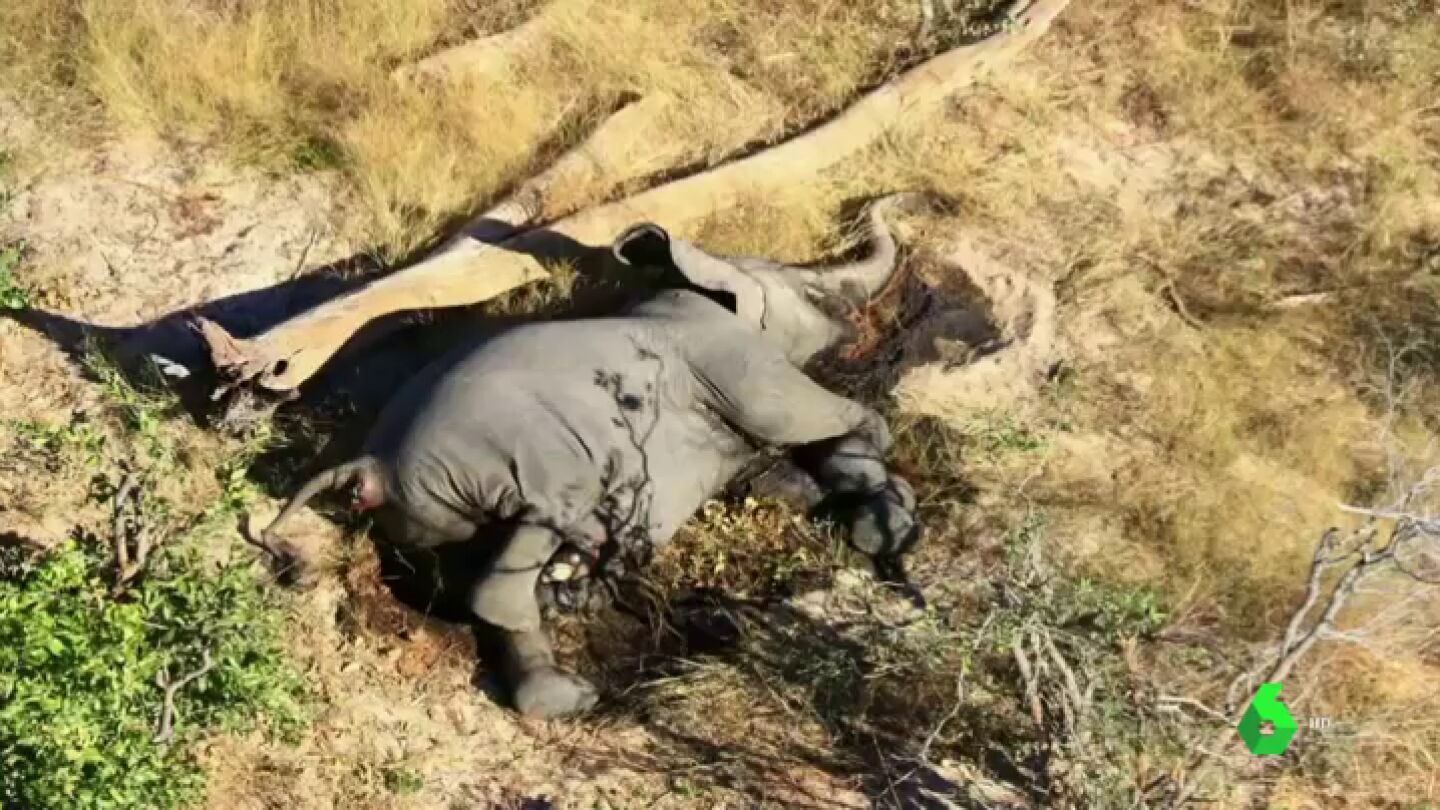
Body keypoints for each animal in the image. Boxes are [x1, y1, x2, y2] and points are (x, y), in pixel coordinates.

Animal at [257, 194, 925, 719]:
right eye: (813, 290)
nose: (902, 200)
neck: (697, 287)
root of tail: (368, 465)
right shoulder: (734, 362)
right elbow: (817, 419)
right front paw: (888, 526)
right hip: (509, 461)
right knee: (517, 554)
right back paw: (574, 686)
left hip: (434, 516)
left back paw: (572, 605)